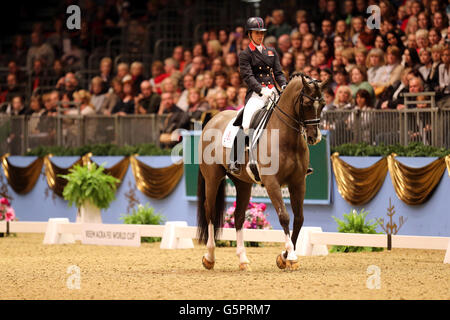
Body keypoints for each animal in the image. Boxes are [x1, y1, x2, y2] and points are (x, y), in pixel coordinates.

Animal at [196, 74, 326, 272]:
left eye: (323, 104)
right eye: (306, 104)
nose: (314, 137)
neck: (286, 138)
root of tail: (213, 119)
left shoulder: (298, 182)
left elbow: (299, 219)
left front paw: (283, 258)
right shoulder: (272, 182)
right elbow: (284, 217)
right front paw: (291, 256)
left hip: (243, 183)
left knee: (239, 217)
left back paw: (243, 260)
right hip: (212, 178)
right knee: (209, 211)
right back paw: (209, 257)